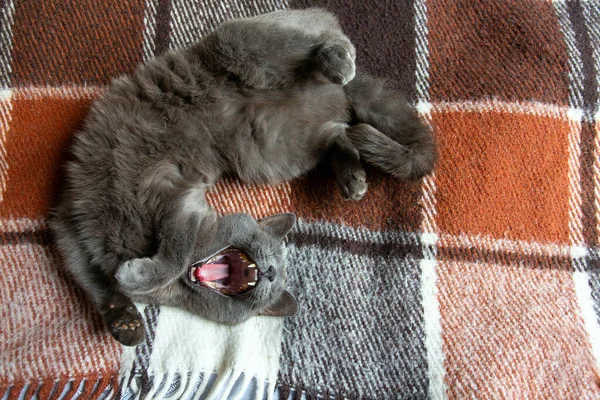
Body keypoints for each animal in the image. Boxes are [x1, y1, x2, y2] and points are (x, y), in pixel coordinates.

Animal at [50, 9, 436, 346]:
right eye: (263, 248)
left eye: (271, 284)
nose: (269, 270)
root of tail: (337, 91)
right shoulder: (73, 225)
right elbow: (93, 279)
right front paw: (127, 323)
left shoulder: (179, 200)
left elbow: (173, 252)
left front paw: (133, 278)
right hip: (240, 47)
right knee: (322, 35)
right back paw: (339, 71)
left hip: (271, 149)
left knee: (337, 122)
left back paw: (352, 170)